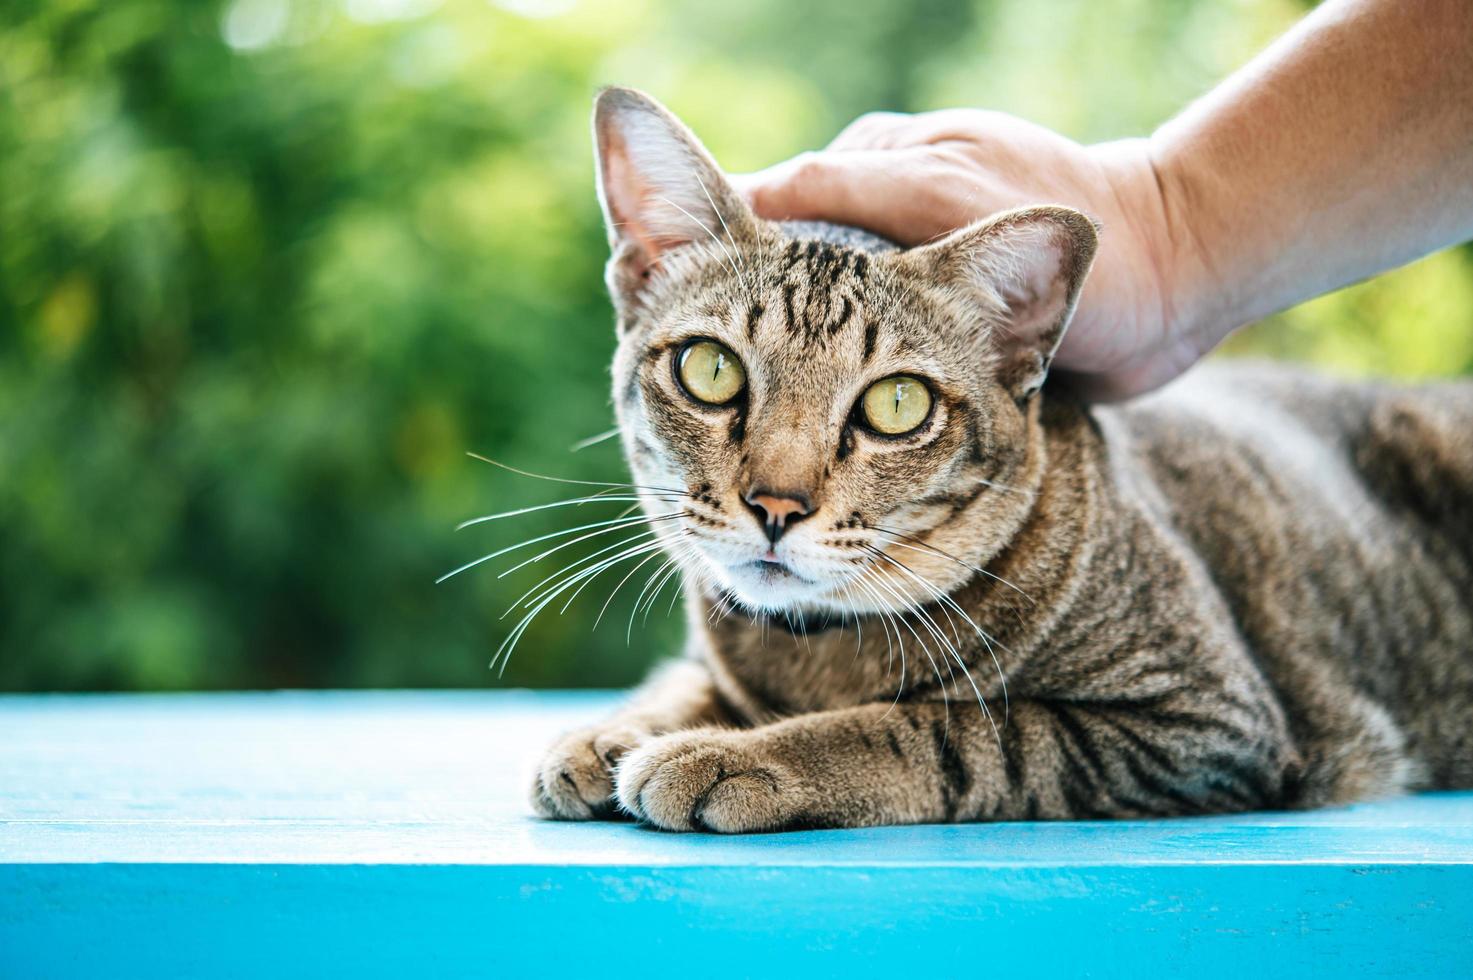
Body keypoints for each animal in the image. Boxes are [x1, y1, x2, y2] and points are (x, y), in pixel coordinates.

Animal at [524, 88, 1467, 831]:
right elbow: (682, 683)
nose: (776, 506)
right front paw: (606, 733)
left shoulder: (1200, 718)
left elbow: (946, 730)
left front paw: (734, 756)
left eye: (895, 404)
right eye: (711, 370)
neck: (815, 655)